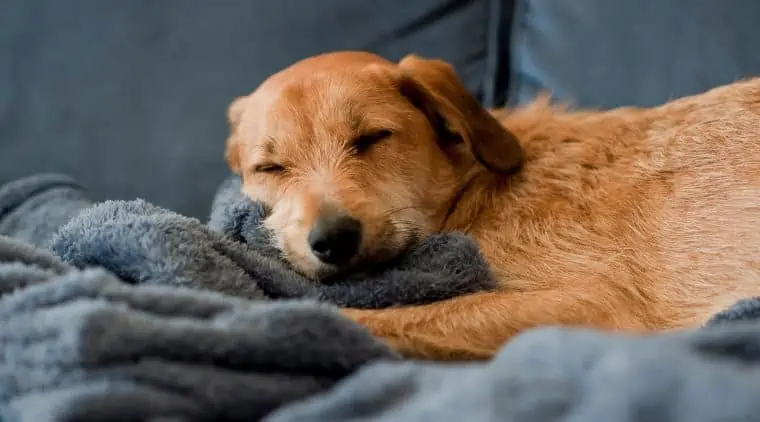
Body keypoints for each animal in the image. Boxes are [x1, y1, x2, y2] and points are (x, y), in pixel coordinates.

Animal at [223, 49, 760, 360]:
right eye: (270, 168)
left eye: (373, 138)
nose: (332, 239)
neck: (478, 189)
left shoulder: (594, 302)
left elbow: (387, 316)